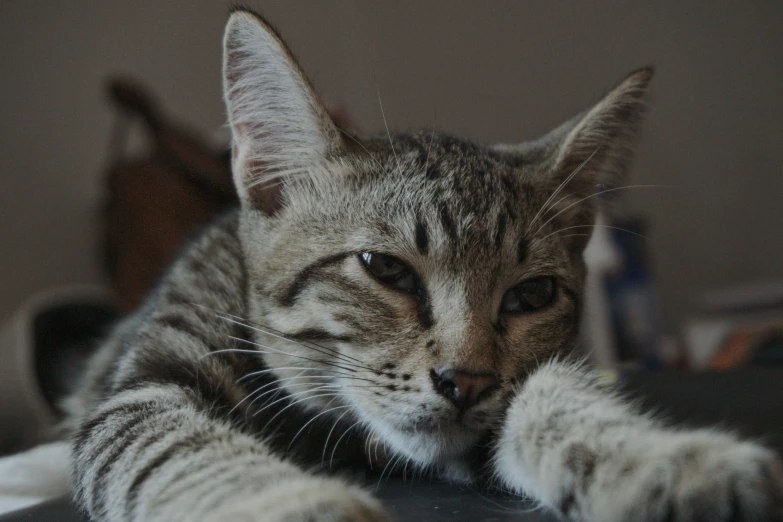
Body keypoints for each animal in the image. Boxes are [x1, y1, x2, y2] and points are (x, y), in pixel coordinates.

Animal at [69, 8, 783, 520]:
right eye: (384, 270)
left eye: (531, 295)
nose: (465, 382)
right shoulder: (144, 387)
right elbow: (172, 446)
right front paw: (296, 505)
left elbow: (556, 401)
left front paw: (662, 459)